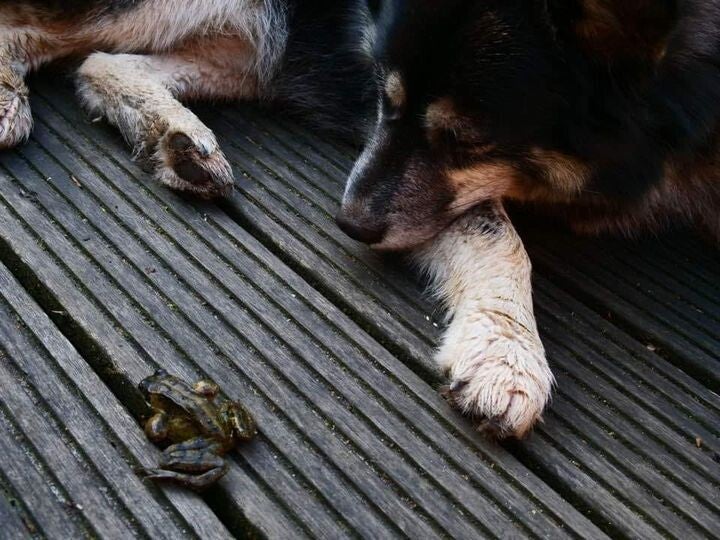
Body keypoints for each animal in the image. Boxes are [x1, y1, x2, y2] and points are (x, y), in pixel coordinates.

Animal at [2, 0, 718, 438]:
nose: (347, 223)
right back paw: (11, 102)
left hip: (258, 49)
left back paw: (177, 140)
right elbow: (495, 234)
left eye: (467, 140)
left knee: (100, 65)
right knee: (28, 28)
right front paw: (506, 353)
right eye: (382, 93)